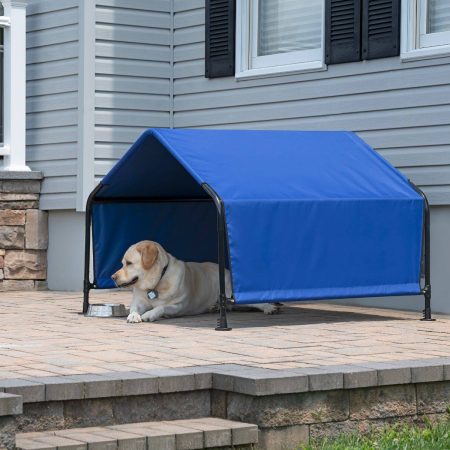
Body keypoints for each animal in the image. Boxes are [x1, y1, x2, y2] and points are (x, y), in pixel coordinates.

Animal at [111, 241, 280, 322]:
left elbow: (161, 308)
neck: (156, 283)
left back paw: (269, 307)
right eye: (122, 263)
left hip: (231, 294)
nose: (113, 277)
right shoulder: (138, 302)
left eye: (129, 263)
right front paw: (134, 316)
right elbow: (134, 308)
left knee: (255, 302)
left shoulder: (178, 306)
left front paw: (150, 314)